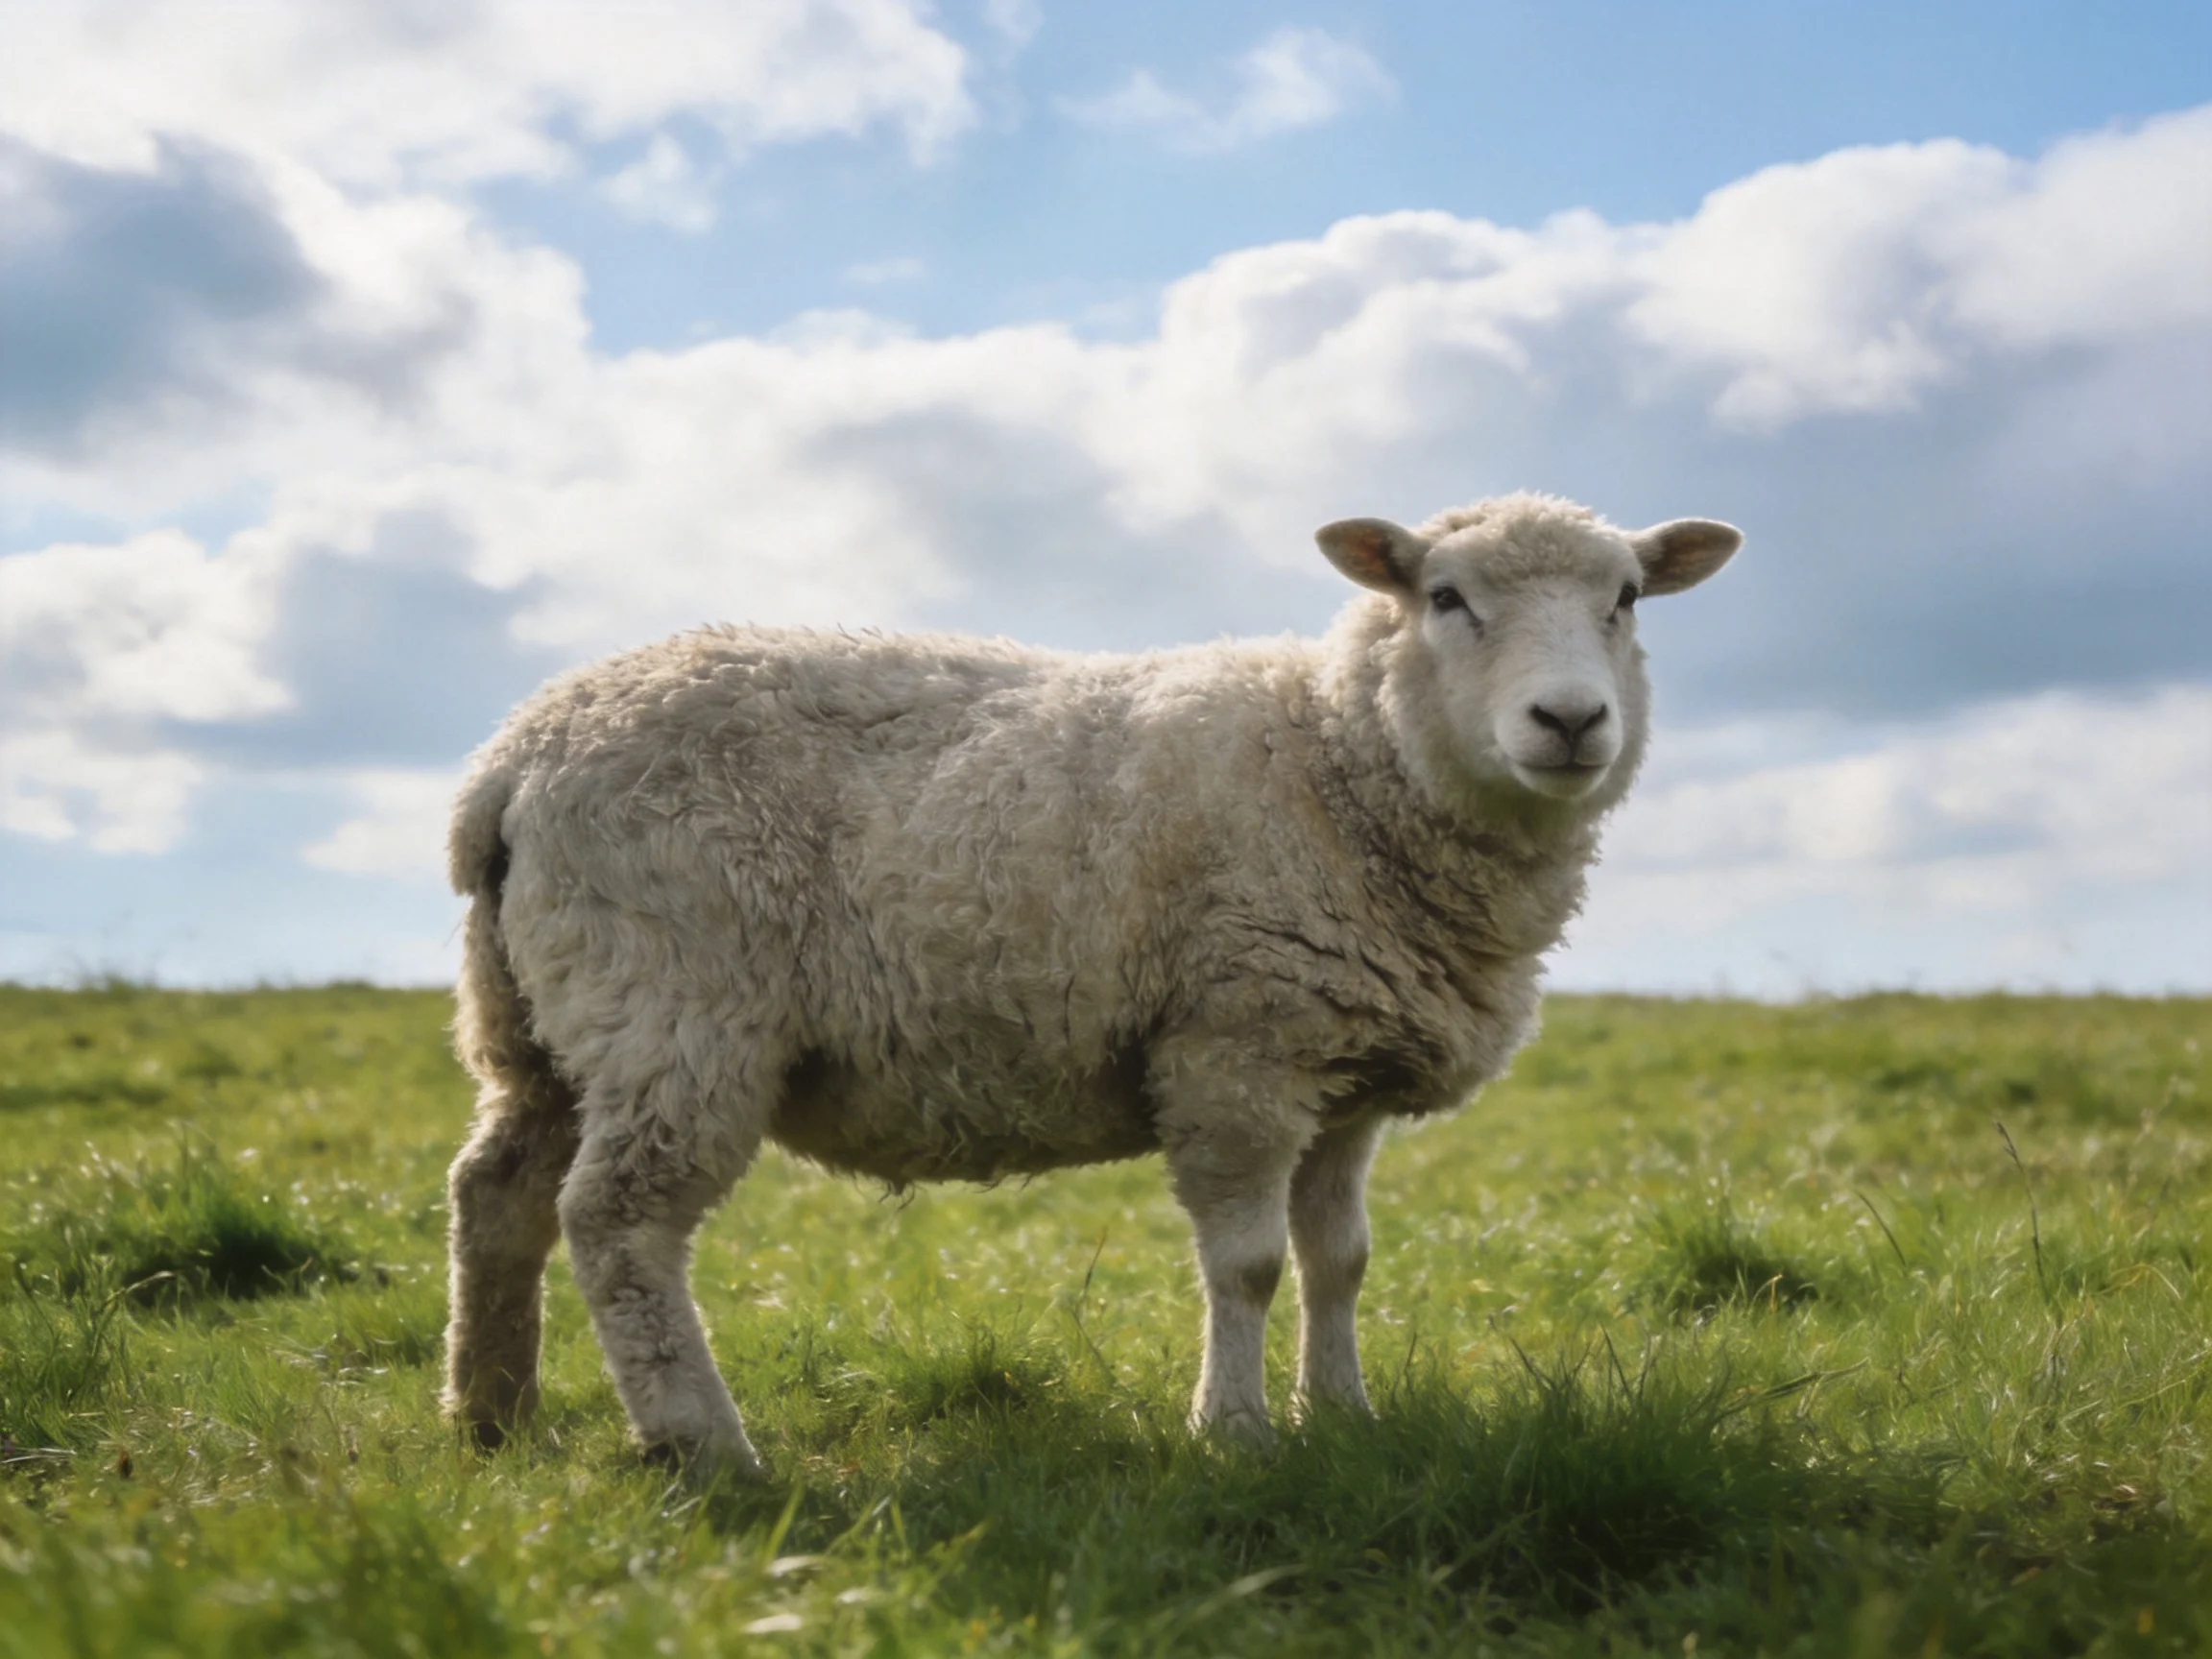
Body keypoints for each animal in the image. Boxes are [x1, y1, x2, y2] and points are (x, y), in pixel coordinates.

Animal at [441, 491, 1742, 1478]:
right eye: (1447, 598)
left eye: (1626, 599)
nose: (1569, 719)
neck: (1339, 760)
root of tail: (513, 759)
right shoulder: (1236, 1048)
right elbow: (1250, 1264)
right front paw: (1236, 1432)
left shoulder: (1343, 1074)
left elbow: (1341, 1260)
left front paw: (1345, 1418)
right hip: (678, 1005)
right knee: (618, 1222)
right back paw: (705, 1449)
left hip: (541, 1021)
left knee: (496, 1193)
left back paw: (493, 1419)